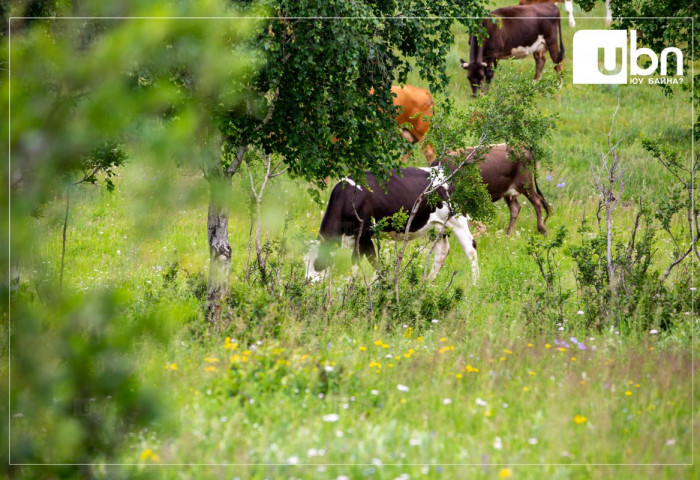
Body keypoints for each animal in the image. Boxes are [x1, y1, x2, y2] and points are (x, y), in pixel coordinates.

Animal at [306, 167, 482, 284]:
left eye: (318, 262)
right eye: (304, 261)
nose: (307, 282)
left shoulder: (364, 234)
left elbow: (368, 261)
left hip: (458, 220)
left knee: (471, 249)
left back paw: (474, 284)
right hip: (437, 225)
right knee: (442, 251)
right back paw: (427, 283)